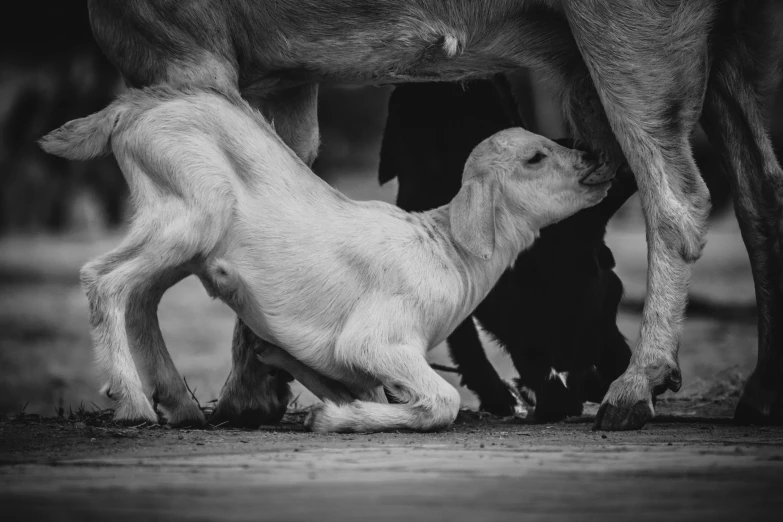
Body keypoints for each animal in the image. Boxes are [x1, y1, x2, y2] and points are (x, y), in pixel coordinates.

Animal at [41, 87, 612, 430]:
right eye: (535, 157)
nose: (595, 157)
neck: (448, 250)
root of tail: (130, 108)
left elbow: (363, 386)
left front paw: (316, 387)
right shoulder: (377, 337)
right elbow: (442, 402)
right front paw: (334, 418)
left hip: (181, 235)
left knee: (142, 298)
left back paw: (179, 405)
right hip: (191, 209)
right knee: (104, 279)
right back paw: (133, 403)